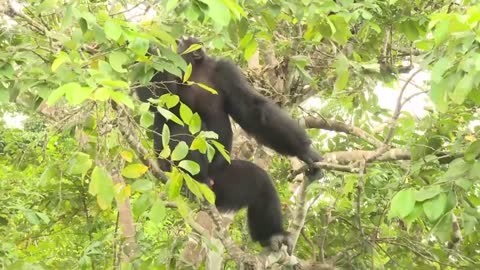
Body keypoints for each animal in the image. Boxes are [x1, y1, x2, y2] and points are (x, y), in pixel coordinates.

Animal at [135, 37, 322, 254]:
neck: (196, 70)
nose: (174, 43)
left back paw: (272, 235)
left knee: (260, 183)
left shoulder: (227, 71)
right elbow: (155, 101)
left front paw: (306, 152)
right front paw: (148, 52)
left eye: (180, 41)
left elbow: (253, 110)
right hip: (171, 171)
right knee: (182, 128)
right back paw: (194, 180)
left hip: (224, 184)